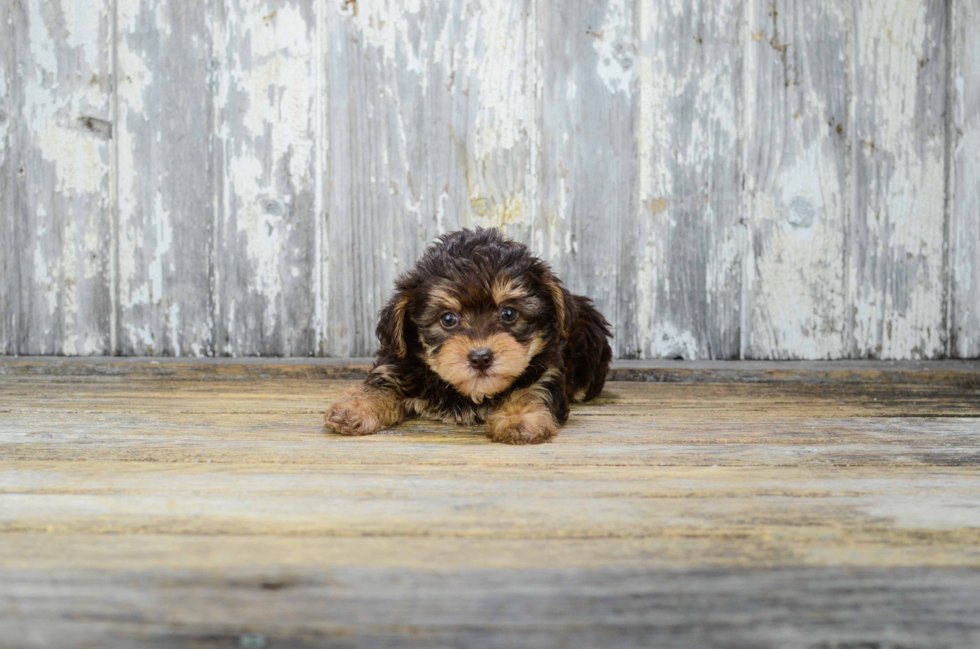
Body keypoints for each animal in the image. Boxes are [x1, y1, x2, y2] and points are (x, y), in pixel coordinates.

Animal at [326, 228, 608, 446]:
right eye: (448, 319)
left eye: (509, 313)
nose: (481, 357)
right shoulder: (397, 361)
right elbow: (379, 384)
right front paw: (354, 407)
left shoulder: (548, 370)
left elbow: (534, 390)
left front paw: (520, 418)